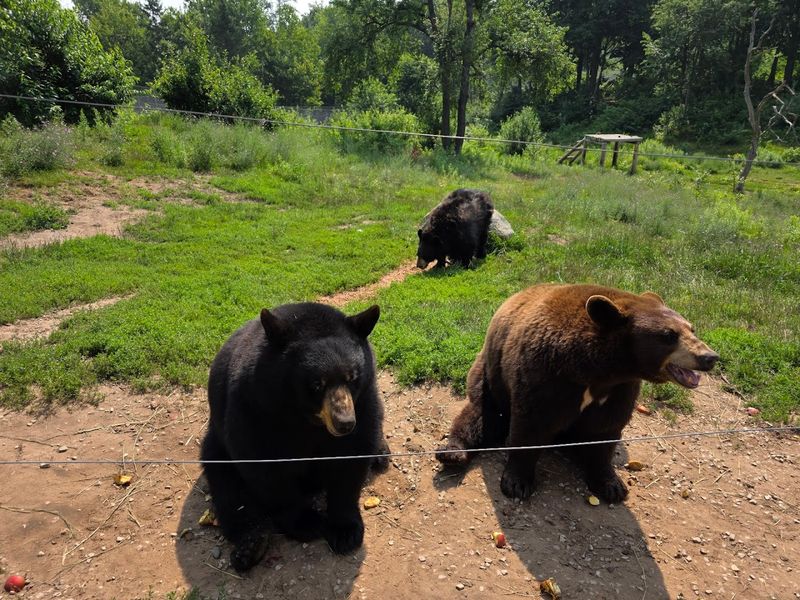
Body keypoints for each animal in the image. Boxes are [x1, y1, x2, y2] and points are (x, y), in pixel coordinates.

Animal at [201, 302, 389, 572]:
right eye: (317, 384)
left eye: (352, 377)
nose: (344, 423)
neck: (308, 420)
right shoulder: (254, 405)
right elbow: (262, 465)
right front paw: (306, 522)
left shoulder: (363, 401)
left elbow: (353, 456)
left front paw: (345, 530)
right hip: (216, 445)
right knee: (229, 491)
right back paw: (251, 546)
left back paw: (381, 452)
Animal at [436, 283, 719, 503]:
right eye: (669, 334)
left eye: (691, 328)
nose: (709, 356)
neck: (596, 371)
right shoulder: (545, 374)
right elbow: (530, 423)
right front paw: (517, 482)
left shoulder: (620, 389)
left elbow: (604, 432)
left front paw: (611, 484)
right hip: (491, 373)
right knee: (484, 415)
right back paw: (453, 452)